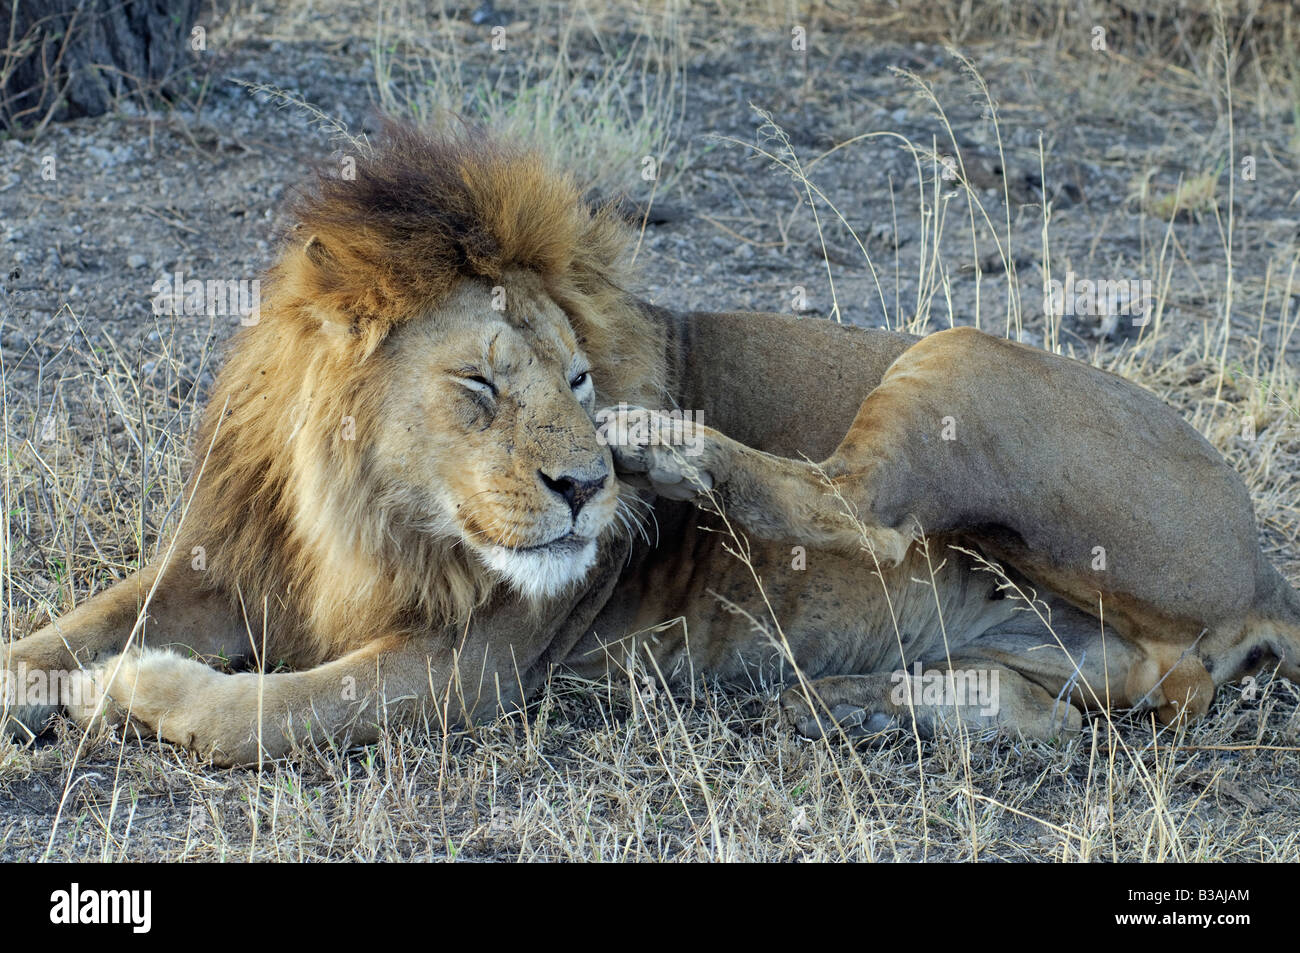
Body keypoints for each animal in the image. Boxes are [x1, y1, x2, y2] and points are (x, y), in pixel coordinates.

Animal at [2, 126, 1300, 764]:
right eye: (479, 386)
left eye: (577, 378)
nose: (582, 483)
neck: (360, 511)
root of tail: (1265, 574)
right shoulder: (218, 567)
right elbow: (59, 631)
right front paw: (46, 677)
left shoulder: (475, 663)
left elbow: (267, 712)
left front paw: (140, 691)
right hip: (1062, 650)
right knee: (1052, 714)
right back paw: (845, 705)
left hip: (960, 351)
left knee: (855, 504)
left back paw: (669, 450)